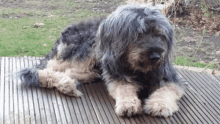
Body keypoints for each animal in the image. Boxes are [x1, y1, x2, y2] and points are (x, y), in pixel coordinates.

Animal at [18, 3, 186, 117]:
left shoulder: (170, 78)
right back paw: (66, 84)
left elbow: (166, 90)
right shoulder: (117, 74)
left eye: (159, 34)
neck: (140, 70)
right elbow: (124, 88)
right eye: (138, 35)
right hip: (90, 47)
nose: (155, 56)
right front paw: (128, 104)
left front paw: (159, 105)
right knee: (45, 70)